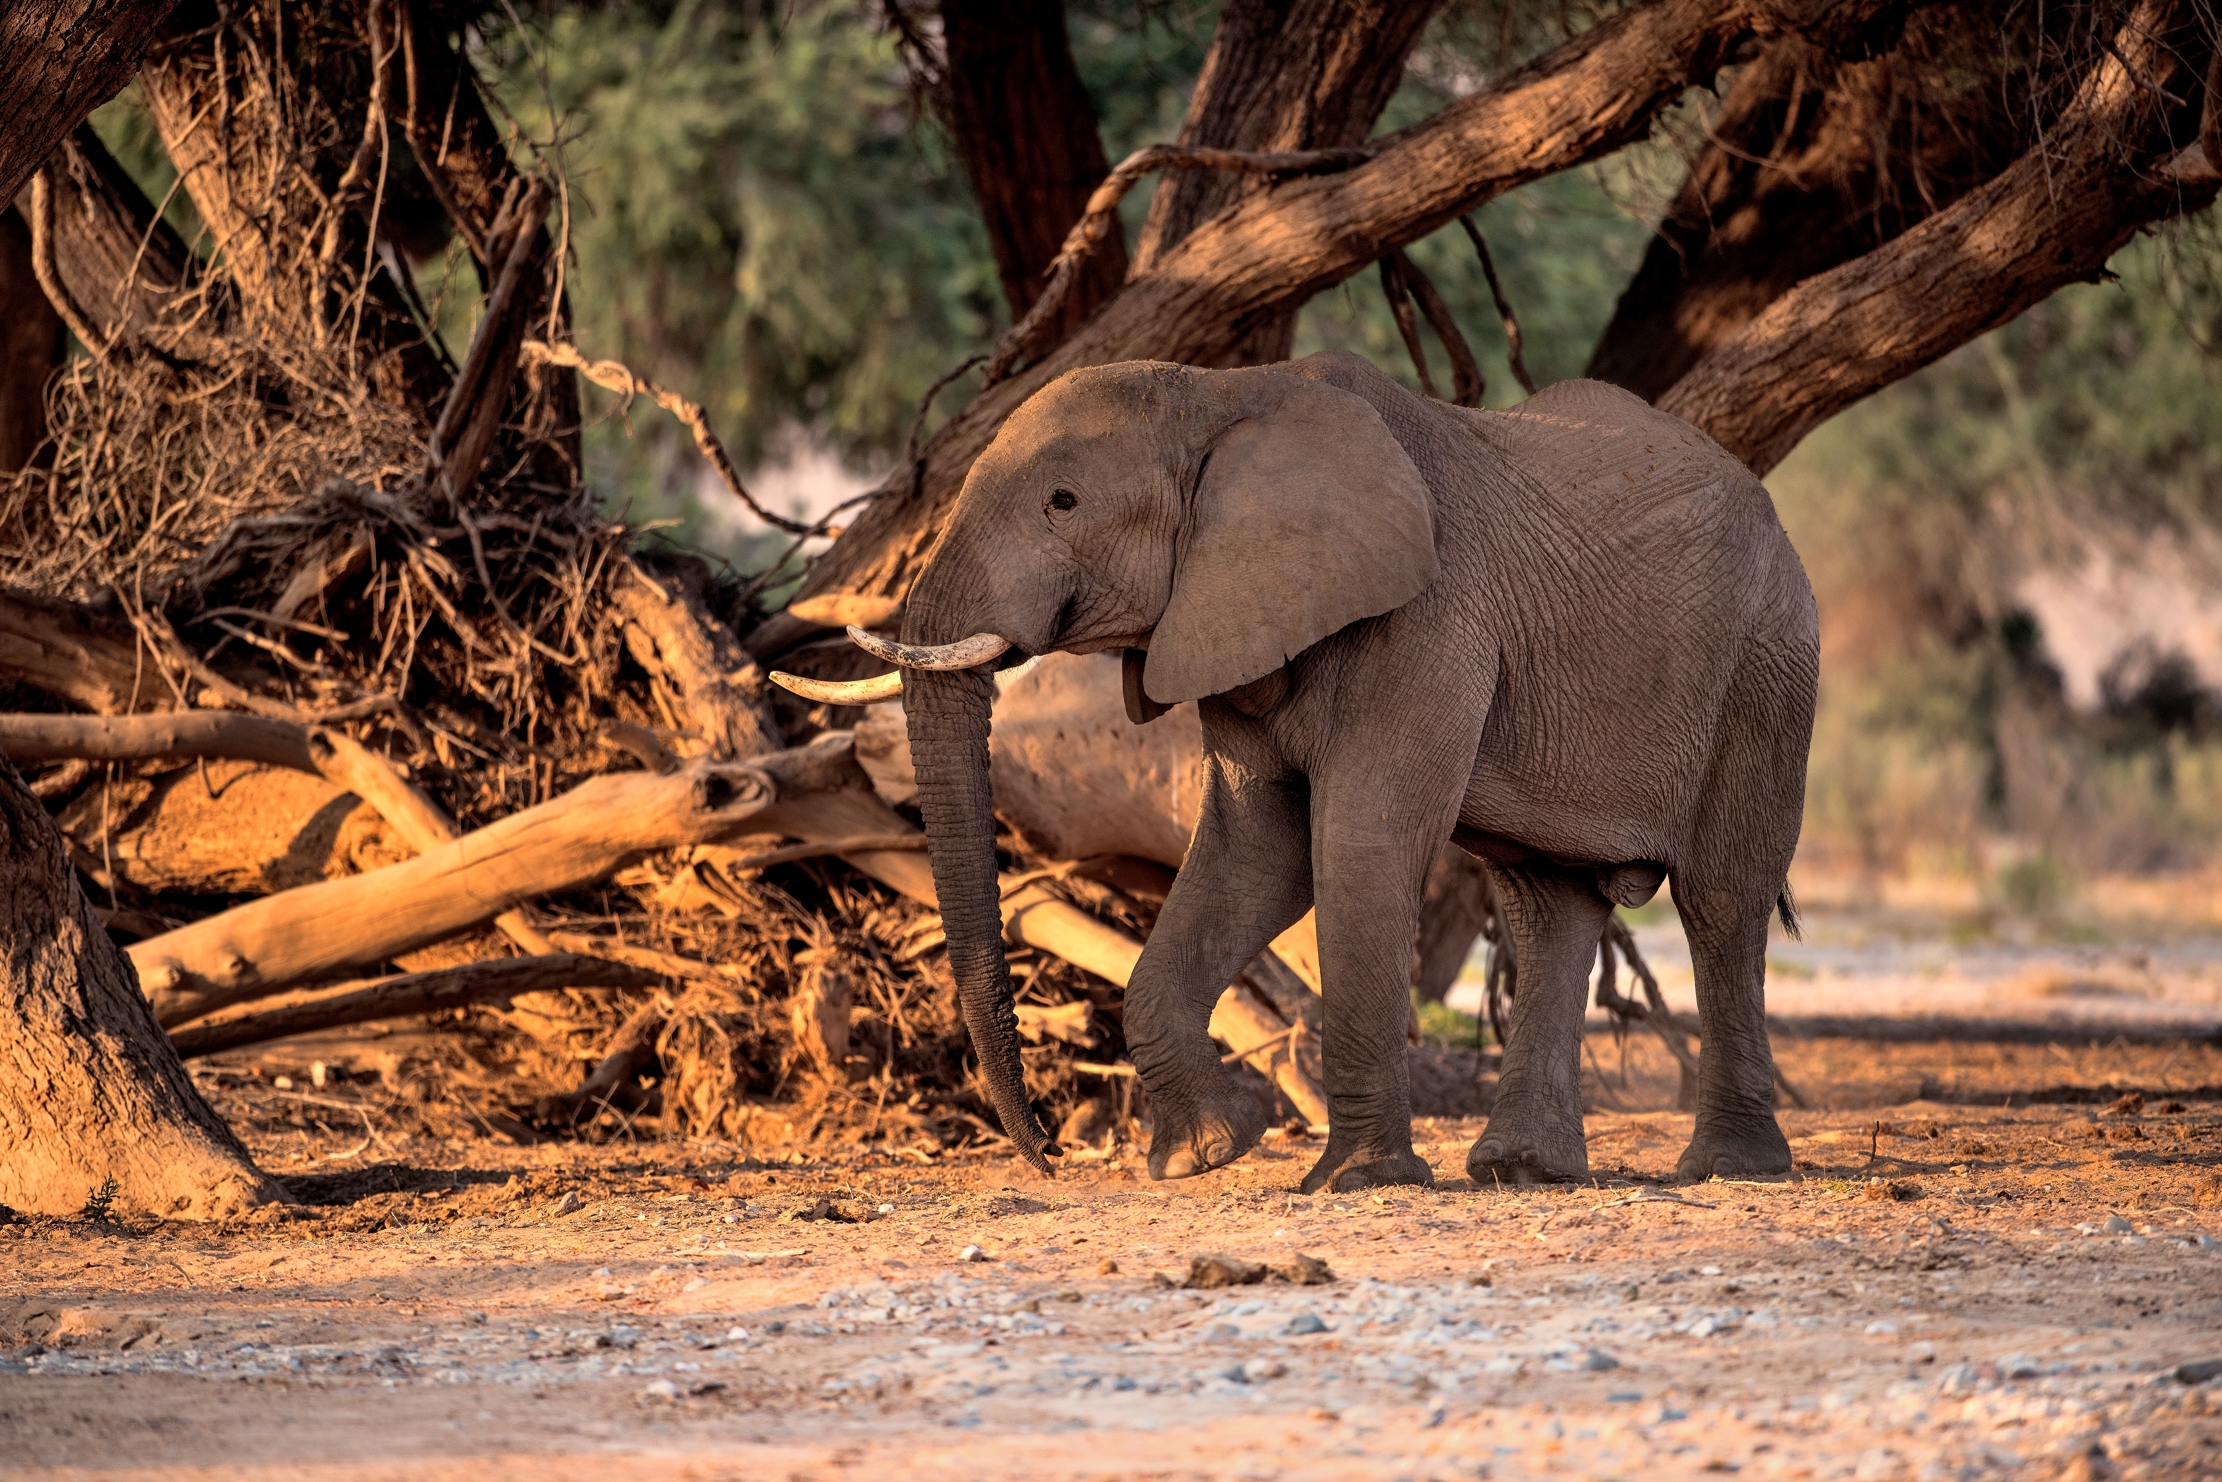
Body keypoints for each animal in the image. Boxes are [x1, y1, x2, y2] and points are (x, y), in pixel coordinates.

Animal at [776, 349, 1817, 1194]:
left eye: (1062, 502)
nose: (1051, 1155)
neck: (1221, 392)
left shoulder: (1428, 616)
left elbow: (1357, 843)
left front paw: (1356, 1182)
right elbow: (1254, 853)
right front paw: (1208, 1152)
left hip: (1766, 670)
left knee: (1721, 900)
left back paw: (1730, 1168)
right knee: (1548, 906)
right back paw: (1523, 1172)